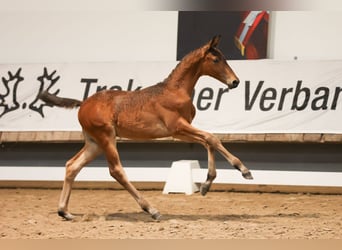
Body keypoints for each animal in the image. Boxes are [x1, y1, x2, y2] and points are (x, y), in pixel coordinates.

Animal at [40, 35, 254, 221]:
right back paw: (152, 210)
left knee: (72, 165)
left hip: (94, 143)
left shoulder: (180, 132)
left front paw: (206, 185)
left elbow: (208, 141)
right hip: (106, 137)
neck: (175, 90)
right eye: (216, 60)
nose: (235, 81)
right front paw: (243, 170)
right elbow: (212, 138)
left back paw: (64, 212)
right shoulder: (177, 127)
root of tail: (83, 103)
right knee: (116, 170)